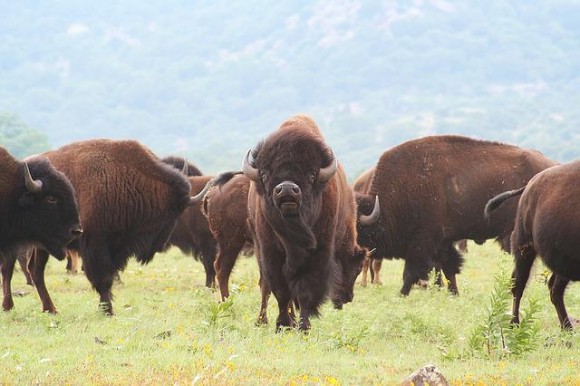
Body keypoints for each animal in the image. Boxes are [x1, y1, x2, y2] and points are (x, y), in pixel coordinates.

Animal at [28, 139, 191, 314]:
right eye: (172, 213)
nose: (161, 245)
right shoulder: (95, 245)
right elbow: (102, 280)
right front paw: (108, 311)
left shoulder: (116, 248)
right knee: (36, 270)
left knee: (35, 270)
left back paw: (49, 308)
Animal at [240, 114, 362, 328]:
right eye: (265, 174)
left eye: (311, 174)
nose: (287, 189)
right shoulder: (270, 253)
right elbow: (280, 291)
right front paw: (282, 324)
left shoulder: (318, 253)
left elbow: (305, 291)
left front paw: (304, 326)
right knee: (266, 286)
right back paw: (264, 321)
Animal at [358, 136, 556, 296]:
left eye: (358, 228)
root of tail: (551, 165)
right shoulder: (443, 242)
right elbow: (448, 268)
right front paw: (453, 293)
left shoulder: (423, 241)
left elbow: (412, 271)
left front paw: (402, 294)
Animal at [484, 161, 580, 330]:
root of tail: (529, 185)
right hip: (524, 249)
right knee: (518, 285)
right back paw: (514, 324)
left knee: (554, 289)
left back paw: (567, 328)